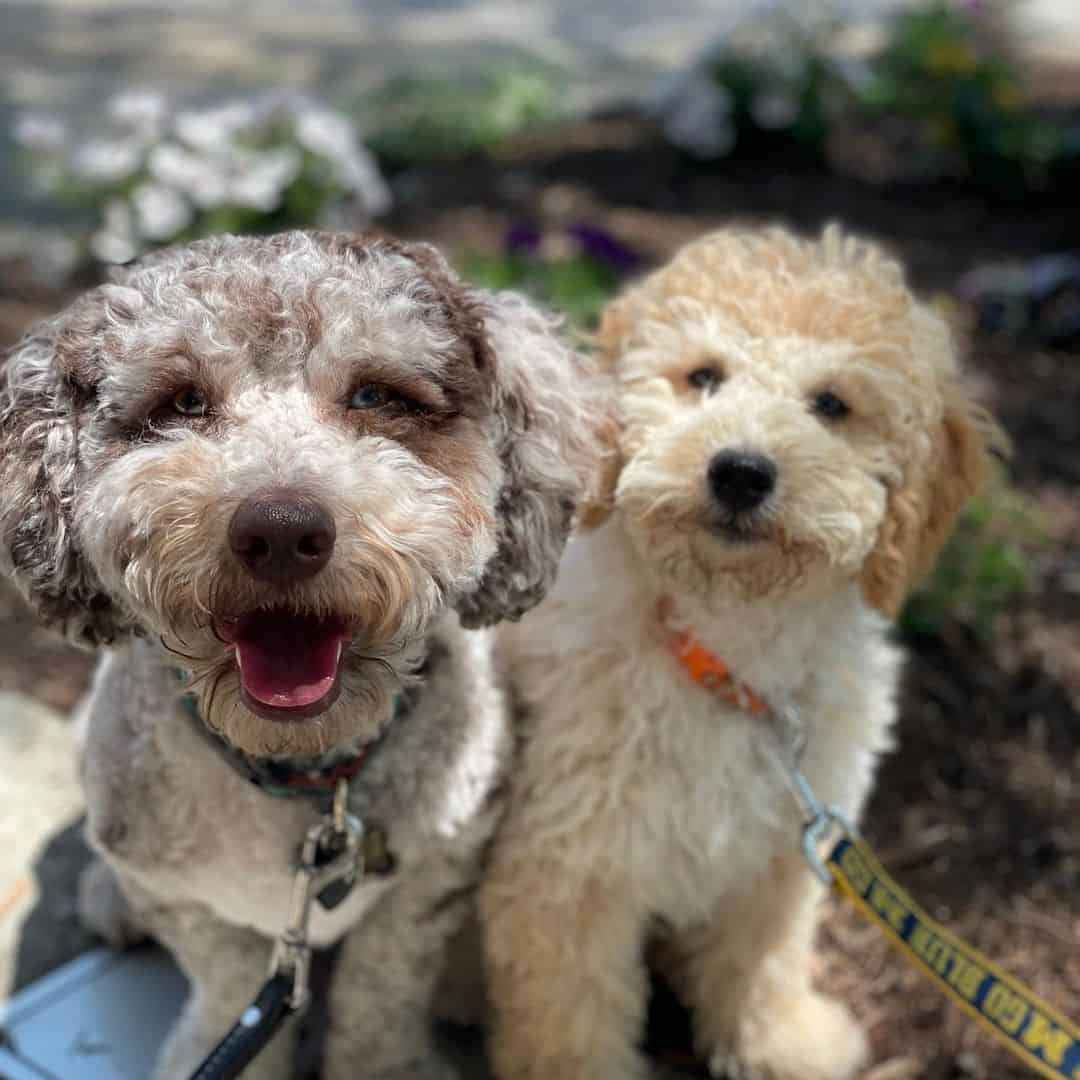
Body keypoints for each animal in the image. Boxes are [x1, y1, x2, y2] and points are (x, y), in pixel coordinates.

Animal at [0, 230, 604, 1080]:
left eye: (376, 396)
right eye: (182, 403)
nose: (281, 530)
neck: (307, 779)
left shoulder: (428, 881)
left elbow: (382, 996)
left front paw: (386, 1067)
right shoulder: (189, 902)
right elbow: (226, 988)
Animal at [481, 225, 1002, 1080]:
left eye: (832, 404)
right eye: (703, 376)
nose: (741, 471)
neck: (727, 651)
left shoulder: (780, 853)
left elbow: (761, 960)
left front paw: (783, 1043)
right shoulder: (570, 864)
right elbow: (570, 1016)